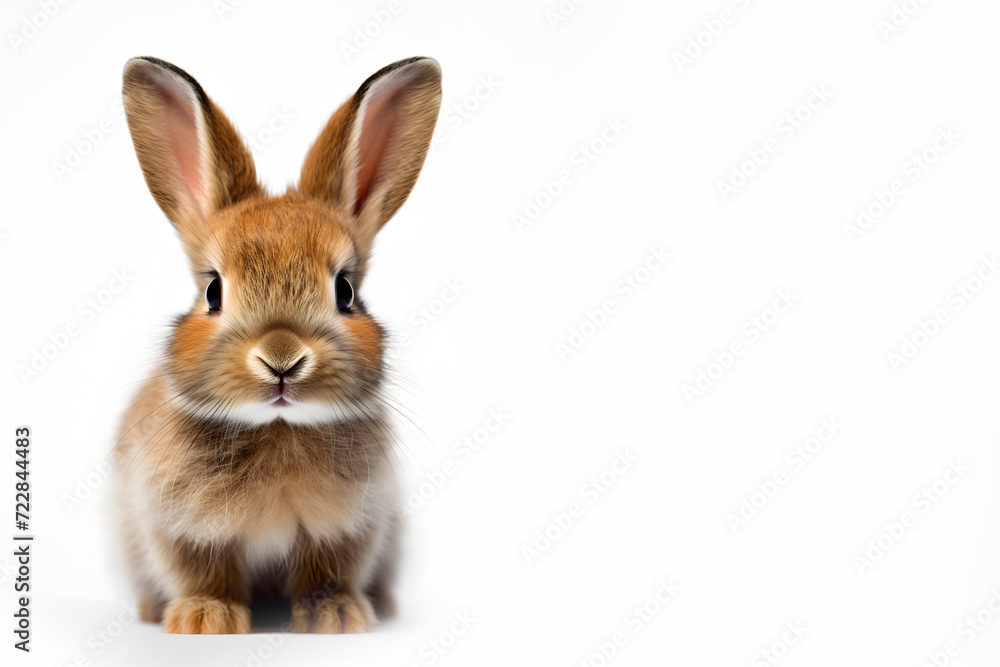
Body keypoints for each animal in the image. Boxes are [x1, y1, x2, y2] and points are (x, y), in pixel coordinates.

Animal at [113, 56, 441, 634]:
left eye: (345, 291)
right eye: (213, 291)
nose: (282, 361)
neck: (278, 429)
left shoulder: (346, 528)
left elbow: (326, 571)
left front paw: (335, 616)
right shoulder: (179, 526)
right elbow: (204, 572)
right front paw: (205, 618)